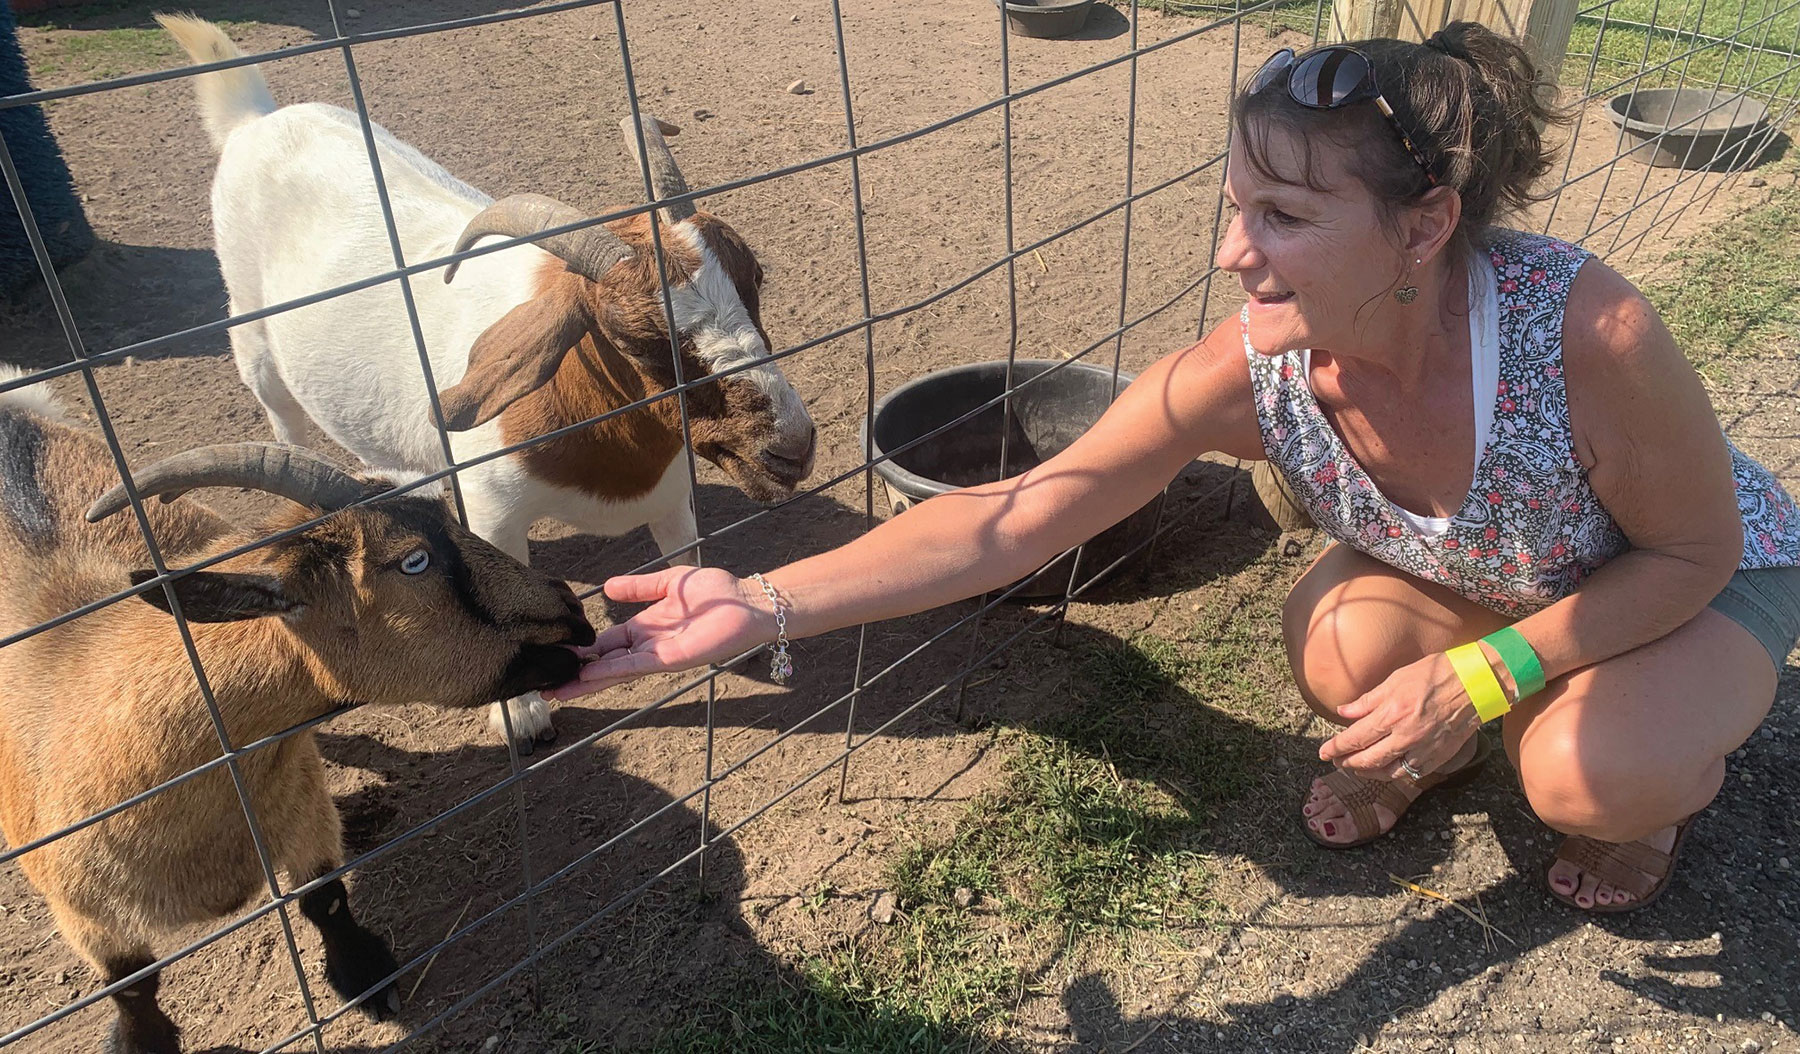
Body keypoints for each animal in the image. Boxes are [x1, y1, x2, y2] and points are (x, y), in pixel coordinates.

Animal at [162, 12, 824, 741]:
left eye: (755, 279)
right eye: (635, 336)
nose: (791, 447)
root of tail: (256, 119)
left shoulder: (672, 491)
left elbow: (686, 559)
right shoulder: (493, 512)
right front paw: (521, 714)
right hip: (252, 337)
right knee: (282, 413)